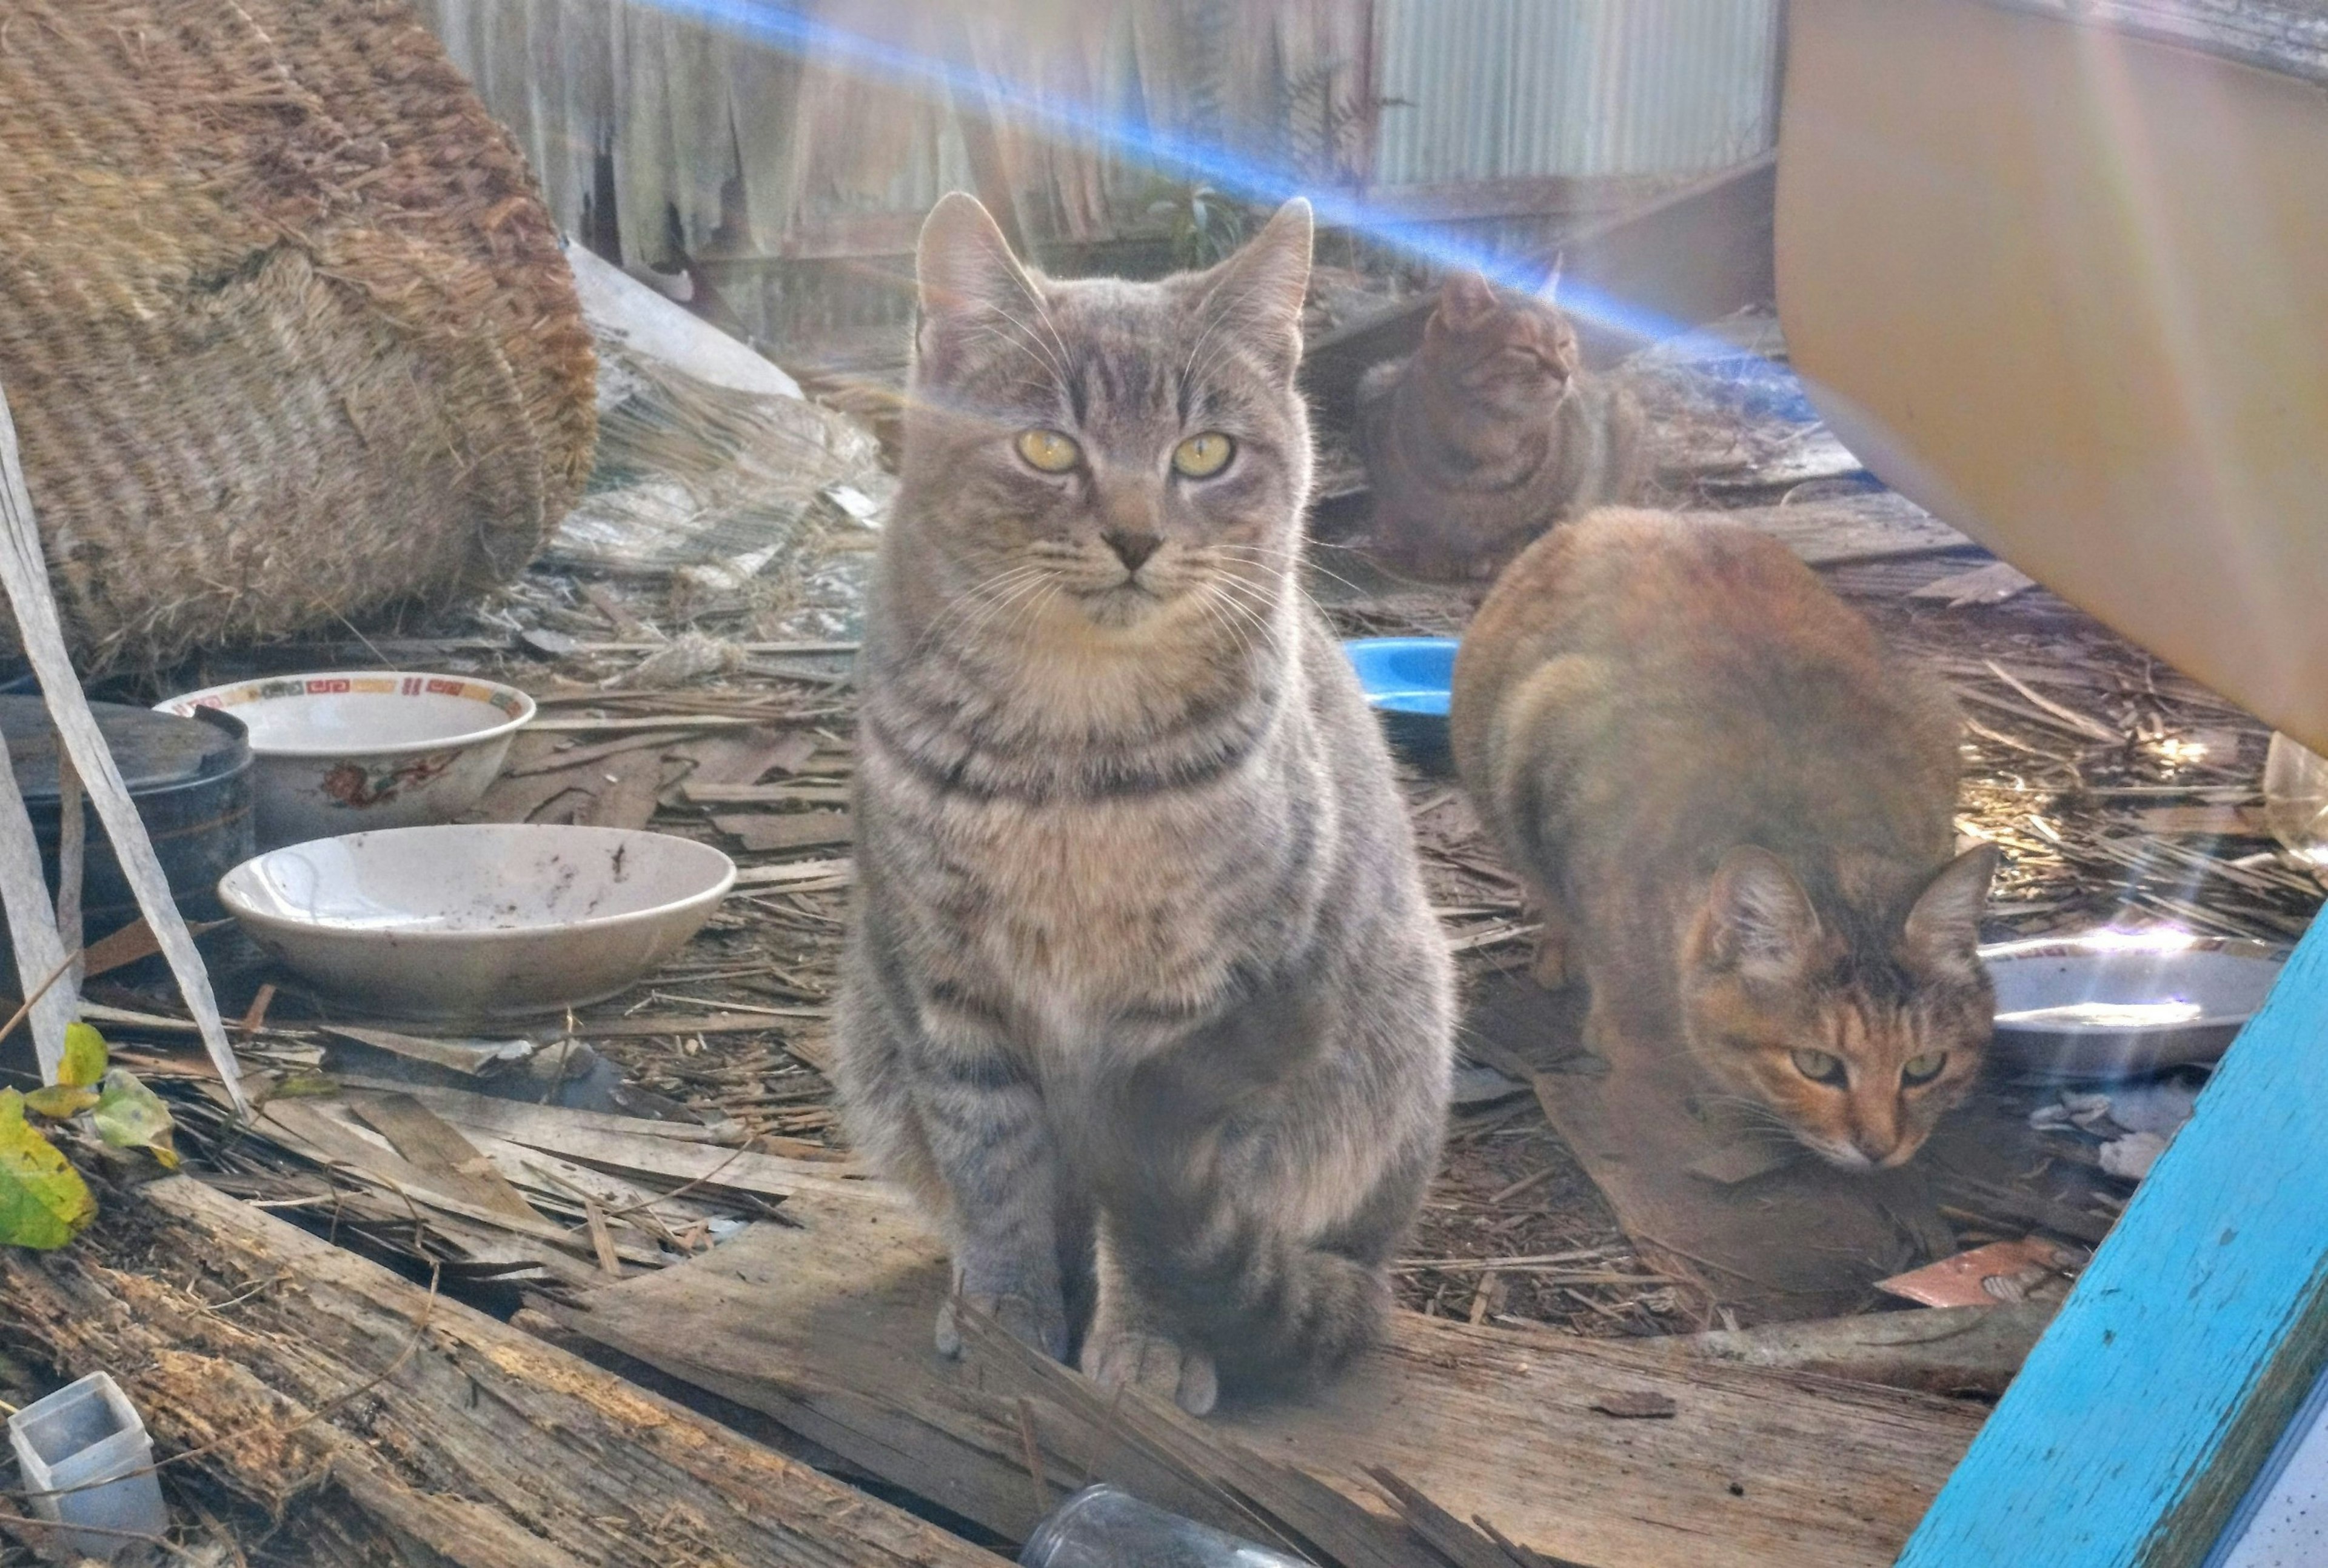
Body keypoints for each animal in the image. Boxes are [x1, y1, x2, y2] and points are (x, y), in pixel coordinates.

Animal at [838, 189, 1453, 1414]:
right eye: (1047, 445)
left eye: (1204, 452)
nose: (1133, 534)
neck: (1072, 758)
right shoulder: (942, 983)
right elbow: (994, 1166)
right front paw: (1006, 1307)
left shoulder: (1207, 1014)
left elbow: (1164, 1216)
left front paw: (1153, 1338)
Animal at [1359, 269, 1648, 579]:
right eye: (1525, 350)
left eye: (1564, 344)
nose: (1565, 372)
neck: (1483, 444)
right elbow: (1413, 521)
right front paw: (1434, 552)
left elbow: (1535, 524)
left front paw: (1500, 553)